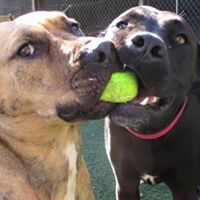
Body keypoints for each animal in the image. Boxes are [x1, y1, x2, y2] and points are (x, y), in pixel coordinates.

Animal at [103, 5, 200, 199]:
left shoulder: (185, 188)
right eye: (123, 24)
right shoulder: (124, 183)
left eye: (181, 39)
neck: (148, 134)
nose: (146, 44)